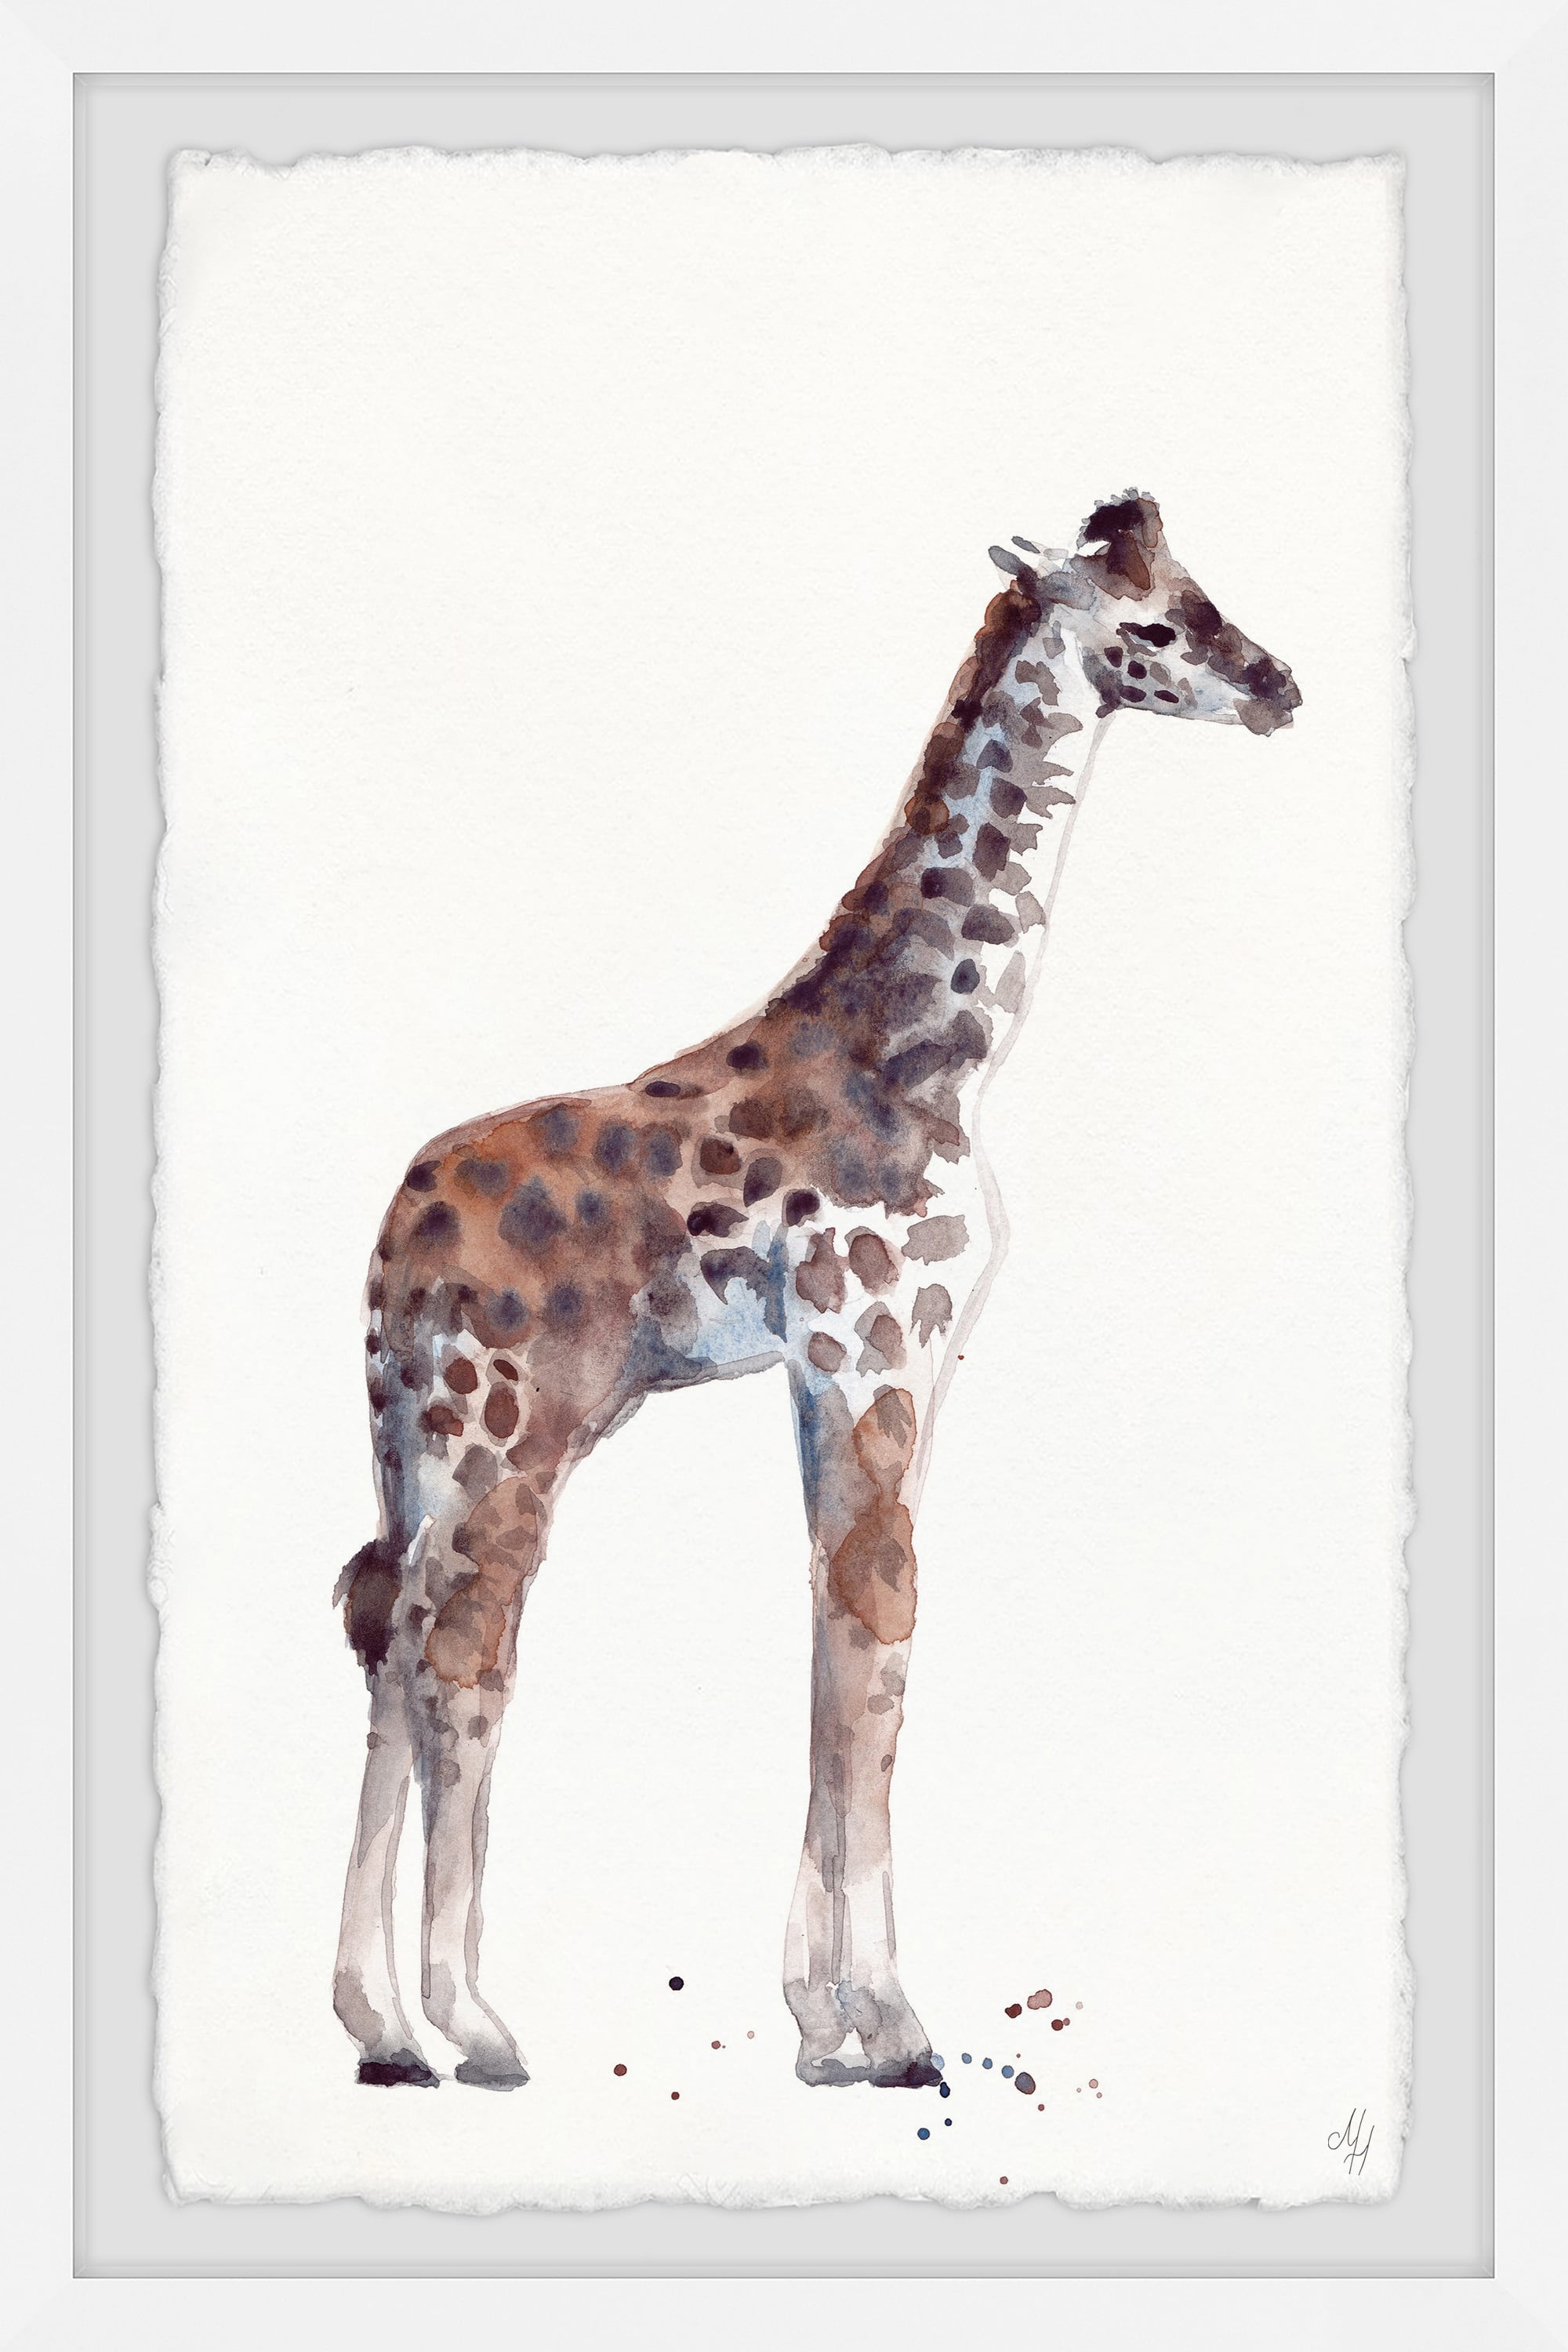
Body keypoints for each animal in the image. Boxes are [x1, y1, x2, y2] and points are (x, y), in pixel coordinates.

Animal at [333, 491, 1301, 2092]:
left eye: (1210, 590)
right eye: (1158, 625)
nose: (1283, 687)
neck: (936, 1058)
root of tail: (395, 1243)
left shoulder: (838, 1371)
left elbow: (835, 1617)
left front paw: (820, 2024)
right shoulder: (878, 1347)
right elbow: (881, 1619)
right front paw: (893, 2026)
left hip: (423, 1440)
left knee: (388, 1626)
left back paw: (379, 2026)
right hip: (515, 1428)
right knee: (465, 1650)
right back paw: (472, 2024)